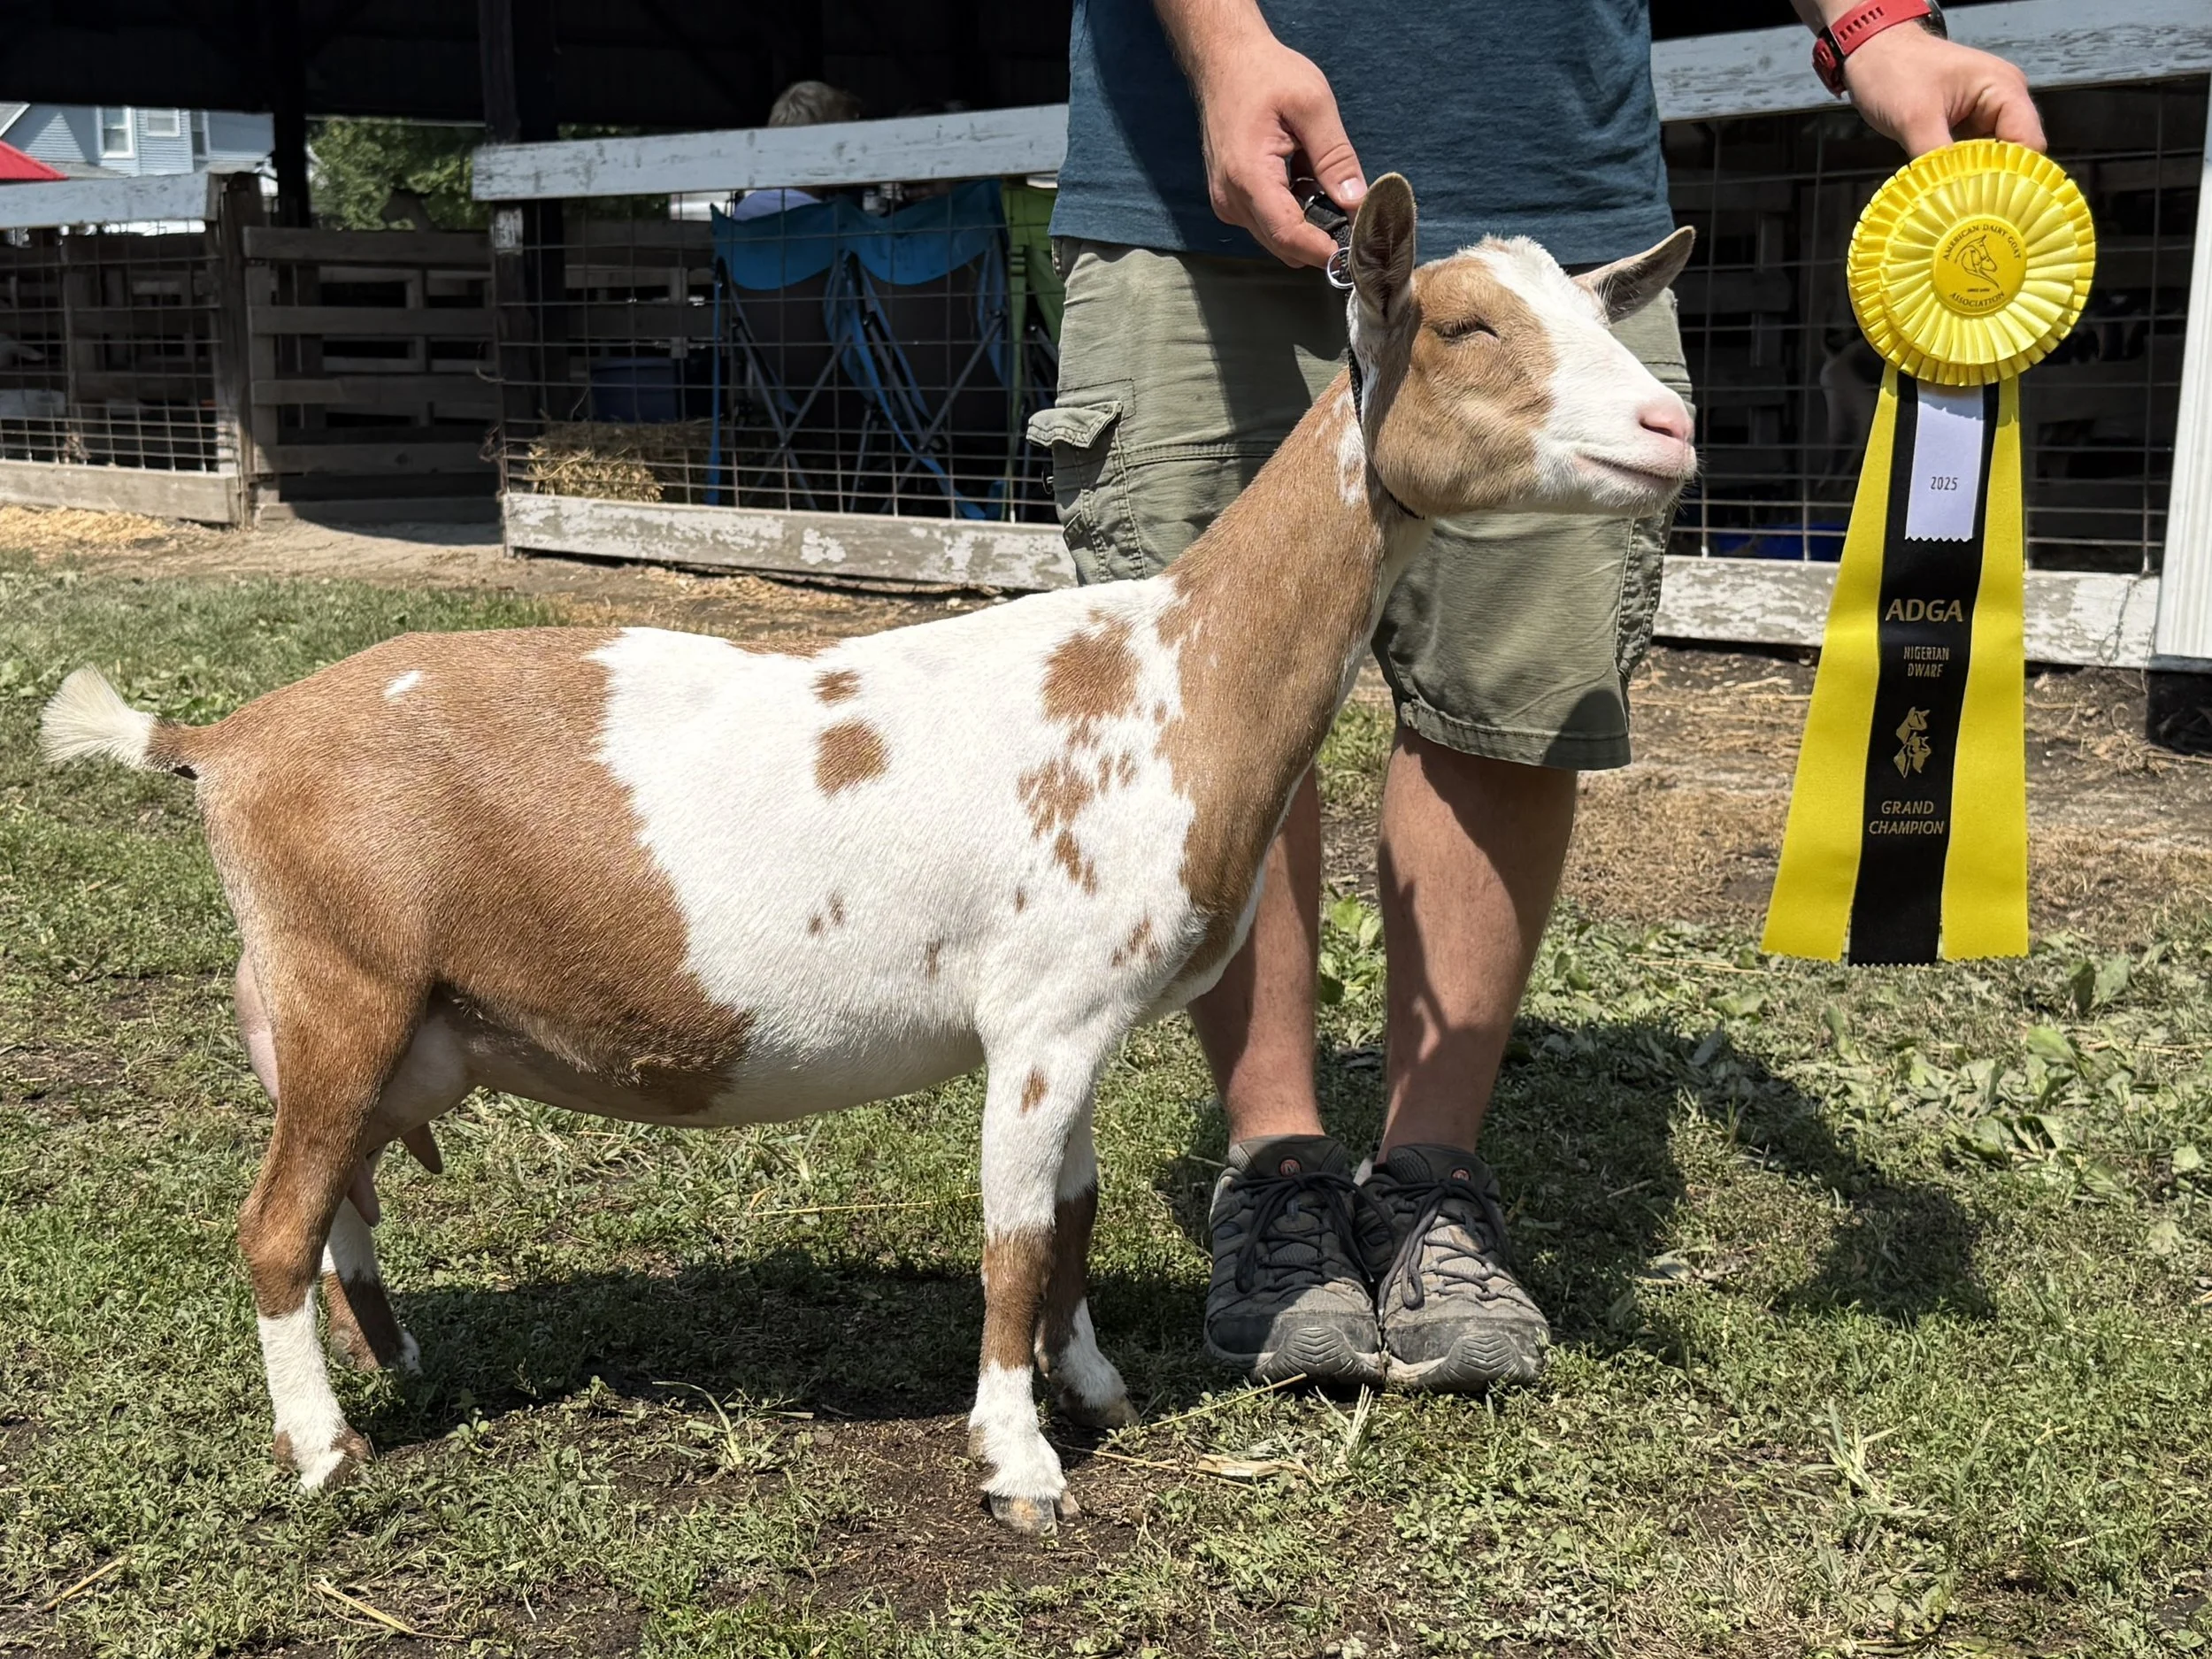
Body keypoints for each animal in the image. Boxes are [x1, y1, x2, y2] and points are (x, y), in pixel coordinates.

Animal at [41, 176, 1694, 1533]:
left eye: (1591, 310)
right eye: (1467, 324)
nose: (1670, 429)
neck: (1172, 671)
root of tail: (225, 739)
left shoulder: (1073, 1028)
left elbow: (1073, 1218)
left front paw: (1094, 1387)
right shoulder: (1040, 1016)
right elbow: (1014, 1238)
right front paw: (1019, 1463)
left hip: (401, 1021)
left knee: (344, 1207)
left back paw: (405, 1365)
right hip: (342, 979)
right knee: (274, 1226)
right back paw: (326, 1454)